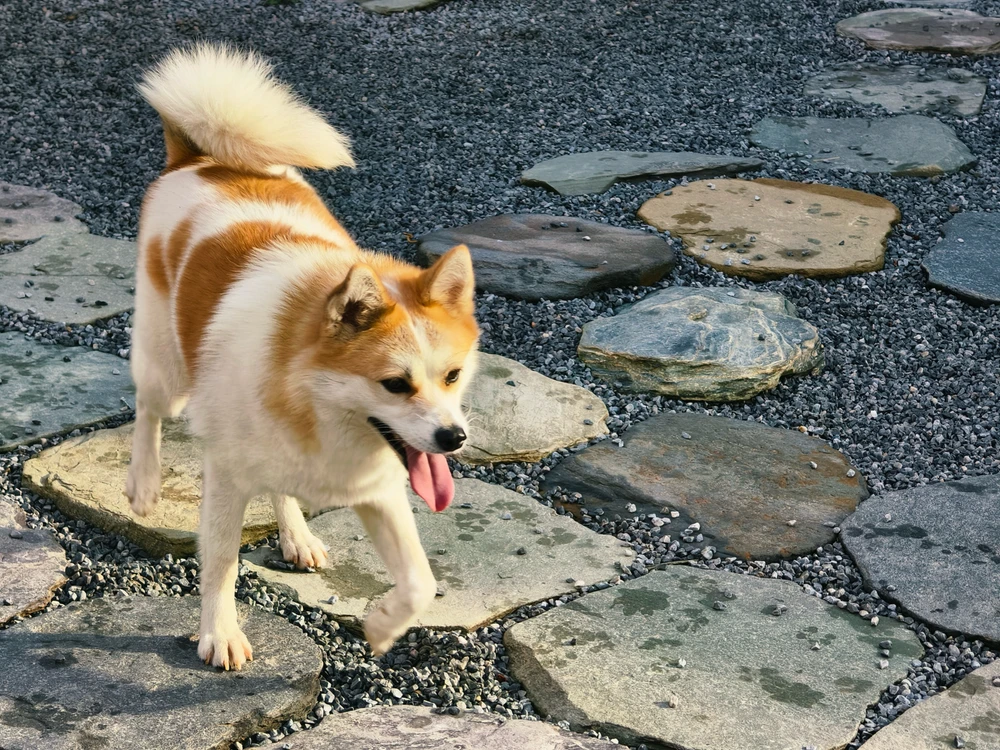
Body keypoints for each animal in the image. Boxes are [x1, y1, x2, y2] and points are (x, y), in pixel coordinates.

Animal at [128, 43, 478, 669]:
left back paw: (297, 536)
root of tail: (199, 159)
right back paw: (142, 484)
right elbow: (221, 564)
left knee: (280, 486)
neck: (310, 401)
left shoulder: (380, 489)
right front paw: (221, 633)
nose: (453, 438)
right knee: (148, 410)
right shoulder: (226, 477)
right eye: (395, 384)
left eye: (453, 375)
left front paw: (383, 626)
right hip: (165, 366)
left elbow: (420, 580)